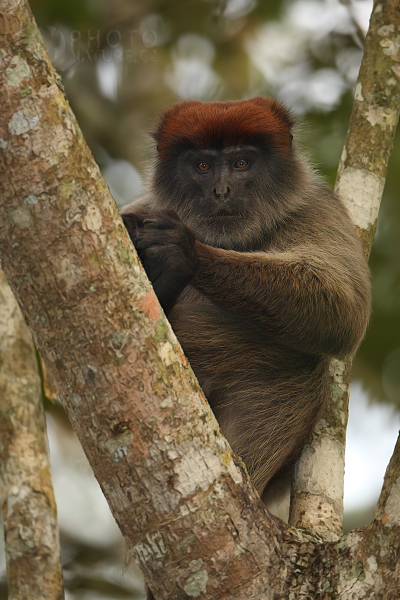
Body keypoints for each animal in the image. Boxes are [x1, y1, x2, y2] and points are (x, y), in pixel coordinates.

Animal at [121, 98, 368, 528]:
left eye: (241, 164)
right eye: (203, 166)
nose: (222, 191)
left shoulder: (318, 208)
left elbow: (347, 312)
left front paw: (184, 252)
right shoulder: (143, 209)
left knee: (302, 361)